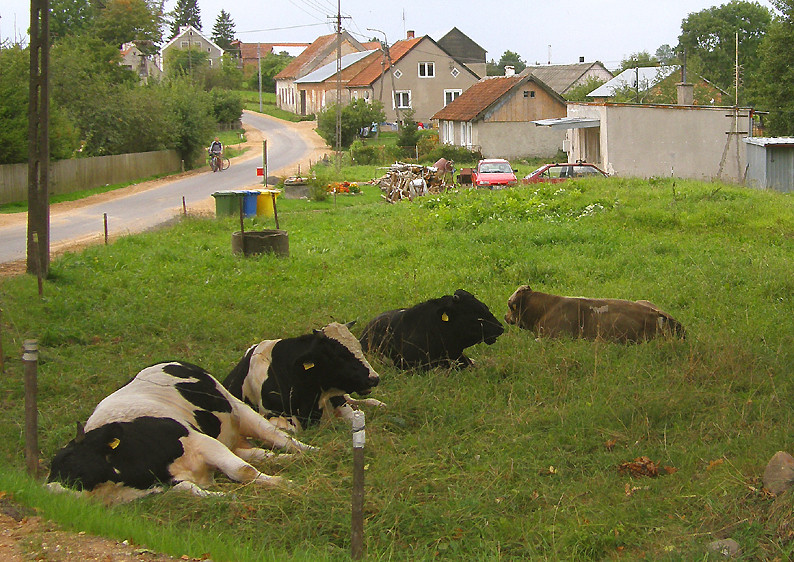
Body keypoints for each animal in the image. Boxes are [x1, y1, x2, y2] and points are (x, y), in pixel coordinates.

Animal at [45, 358, 312, 498]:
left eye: (72, 466)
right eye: (51, 469)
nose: (49, 490)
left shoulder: (201, 441)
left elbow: (242, 471)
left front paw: (285, 484)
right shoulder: (166, 485)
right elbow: (194, 491)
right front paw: (227, 497)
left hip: (238, 409)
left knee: (279, 437)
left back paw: (312, 453)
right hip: (231, 439)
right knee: (260, 453)